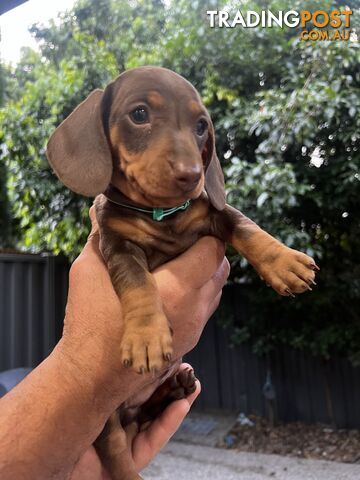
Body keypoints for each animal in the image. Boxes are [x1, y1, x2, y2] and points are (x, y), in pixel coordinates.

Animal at [47, 65, 318, 478]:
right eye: (139, 114)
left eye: (202, 125)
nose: (193, 175)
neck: (161, 215)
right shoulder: (118, 246)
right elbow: (139, 284)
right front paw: (146, 335)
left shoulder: (212, 211)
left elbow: (245, 225)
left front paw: (284, 262)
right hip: (105, 420)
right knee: (116, 447)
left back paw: (176, 387)